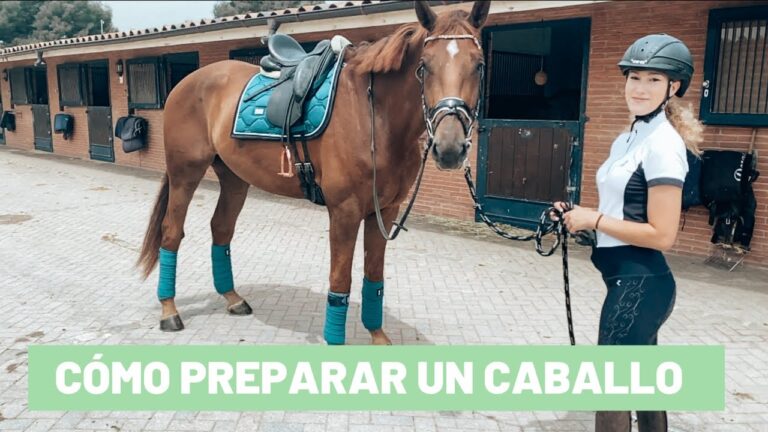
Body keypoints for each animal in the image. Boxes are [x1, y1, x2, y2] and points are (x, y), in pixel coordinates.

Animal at [137, 1, 490, 345]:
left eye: (479, 65)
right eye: (424, 66)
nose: (449, 147)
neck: (374, 117)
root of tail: (187, 83)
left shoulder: (386, 211)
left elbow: (374, 277)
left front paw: (378, 338)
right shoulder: (345, 212)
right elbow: (341, 281)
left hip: (235, 179)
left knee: (221, 229)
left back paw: (233, 299)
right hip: (185, 173)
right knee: (171, 232)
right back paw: (169, 311)